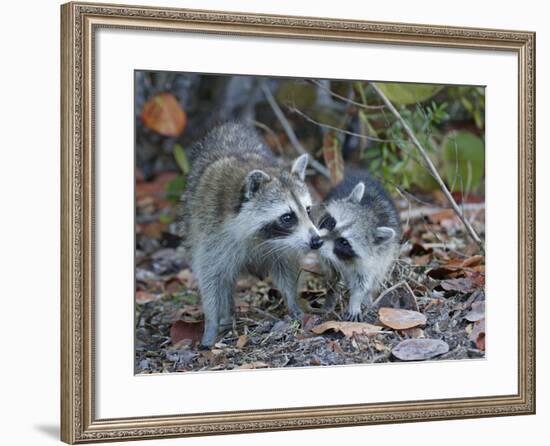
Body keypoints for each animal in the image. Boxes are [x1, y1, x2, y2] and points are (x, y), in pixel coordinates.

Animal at [181, 123, 324, 348]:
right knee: (225, 279)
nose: (317, 241)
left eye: (308, 210)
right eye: (287, 217)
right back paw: (226, 315)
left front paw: (293, 303)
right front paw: (211, 323)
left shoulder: (284, 245)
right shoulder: (210, 232)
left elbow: (286, 269)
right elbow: (210, 278)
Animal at [316, 171, 404, 320]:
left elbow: (363, 281)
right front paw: (331, 295)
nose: (315, 242)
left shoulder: (375, 256)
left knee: (378, 275)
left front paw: (356, 300)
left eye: (344, 242)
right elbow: (331, 273)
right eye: (331, 223)